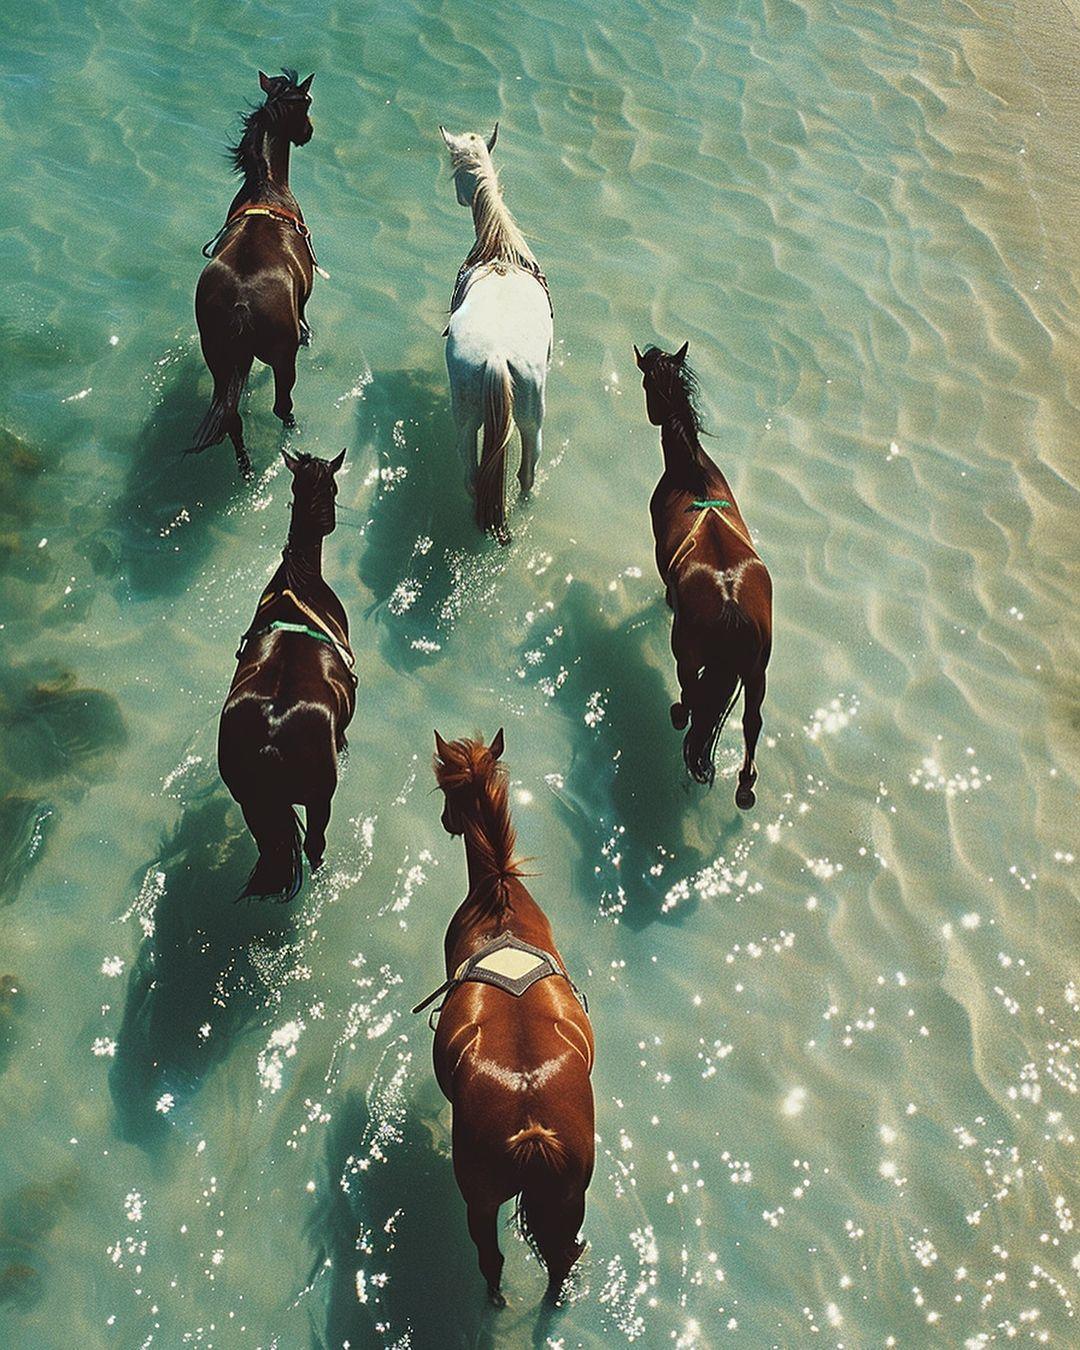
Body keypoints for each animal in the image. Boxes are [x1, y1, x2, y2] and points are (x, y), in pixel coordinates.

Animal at [190, 69, 318, 478]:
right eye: (306, 104)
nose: (309, 132)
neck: (267, 188)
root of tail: (242, 301)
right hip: (282, 358)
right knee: (282, 406)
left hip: (217, 356)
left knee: (231, 417)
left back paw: (245, 466)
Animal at [218, 449, 356, 899]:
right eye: (334, 484)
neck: (301, 580)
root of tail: (273, 732)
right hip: (318, 798)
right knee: (314, 845)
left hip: (250, 801)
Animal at [425, 730, 594, 1303]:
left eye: (445, 789)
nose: (447, 820)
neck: (499, 893)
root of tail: (531, 1124)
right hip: (569, 1198)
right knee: (563, 1256)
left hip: (479, 1200)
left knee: (490, 1259)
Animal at [440, 124, 553, 542]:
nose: (460, 197)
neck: (499, 250)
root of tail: (496, 356)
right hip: (531, 422)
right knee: (524, 475)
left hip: (469, 421)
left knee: (477, 477)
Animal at [635, 342, 772, 808]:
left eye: (646, 383)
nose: (652, 415)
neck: (691, 473)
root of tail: (730, 601)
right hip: (757, 672)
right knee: (752, 722)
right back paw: (745, 785)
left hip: (688, 653)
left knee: (692, 696)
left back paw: (680, 715)